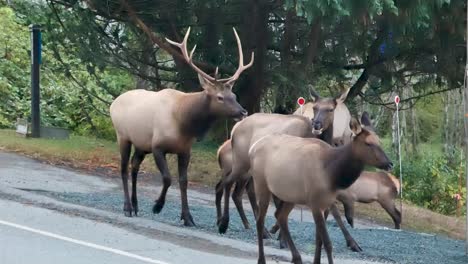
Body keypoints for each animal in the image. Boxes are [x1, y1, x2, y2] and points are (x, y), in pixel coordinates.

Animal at [110, 26, 254, 226]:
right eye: (220, 97)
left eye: (234, 96)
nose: (243, 112)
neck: (184, 122)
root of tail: (113, 103)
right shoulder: (157, 146)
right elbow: (167, 178)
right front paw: (157, 206)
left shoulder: (185, 150)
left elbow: (183, 181)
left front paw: (187, 217)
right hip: (122, 136)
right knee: (123, 168)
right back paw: (128, 207)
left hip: (141, 145)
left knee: (134, 166)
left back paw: (136, 205)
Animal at [247, 113, 394, 264]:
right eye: (368, 143)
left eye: (379, 142)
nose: (390, 164)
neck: (332, 174)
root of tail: (252, 149)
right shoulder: (316, 204)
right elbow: (327, 243)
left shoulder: (325, 204)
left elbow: (319, 240)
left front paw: (316, 261)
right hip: (261, 185)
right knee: (260, 220)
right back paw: (262, 259)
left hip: (290, 195)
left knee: (280, 215)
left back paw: (296, 257)